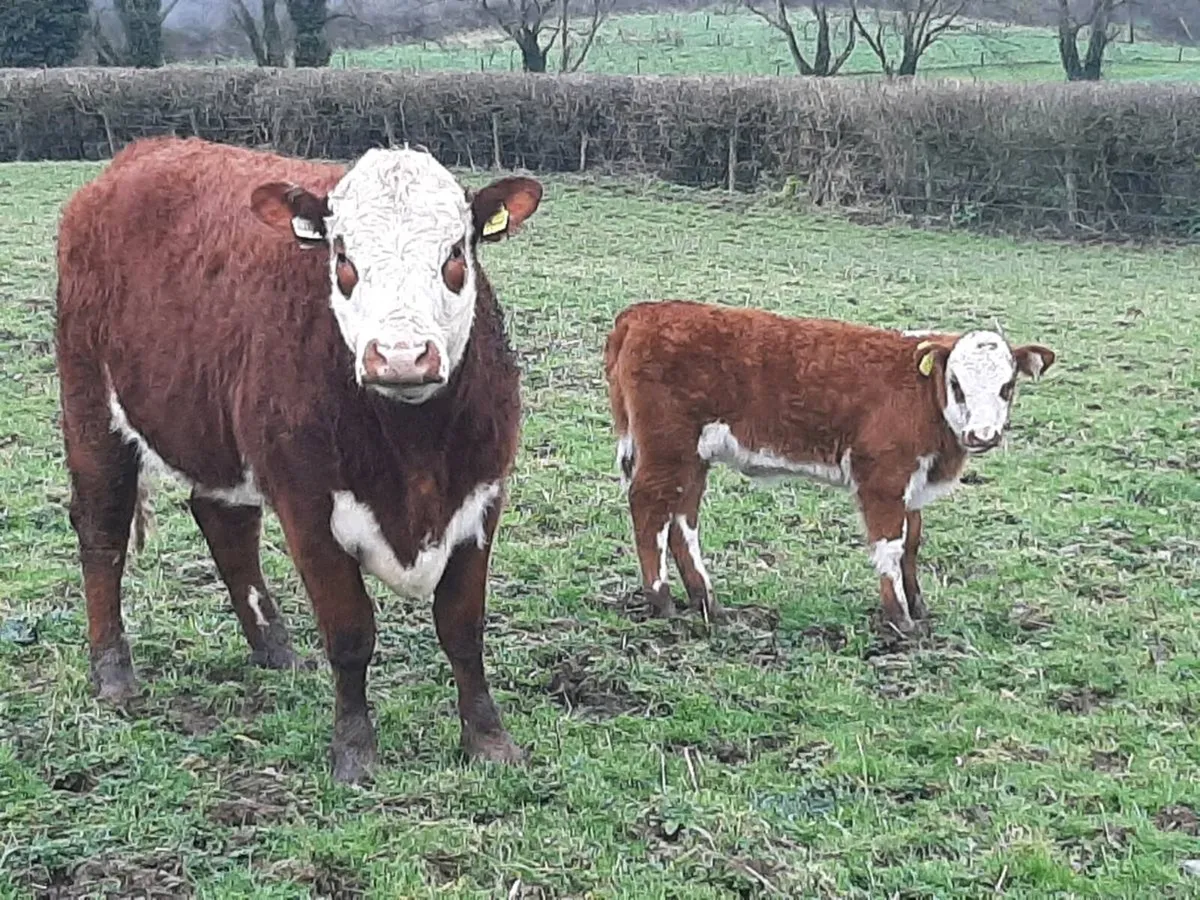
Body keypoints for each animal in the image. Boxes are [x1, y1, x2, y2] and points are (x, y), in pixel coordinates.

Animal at [55, 136, 542, 783]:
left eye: (455, 253)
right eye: (343, 258)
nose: (401, 356)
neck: (414, 450)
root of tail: (139, 155)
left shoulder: (481, 496)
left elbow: (462, 627)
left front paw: (490, 741)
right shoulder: (307, 506)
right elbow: (351, 631)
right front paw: (355, 752)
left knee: (224, 523)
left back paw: (275, 648)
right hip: (89, 405)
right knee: (102, 529)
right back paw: (112, 670)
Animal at [603, 300, 1056, 634]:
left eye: (1007, 386)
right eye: (957, 384)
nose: (982, 435)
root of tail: (641, 313)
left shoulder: (912, 483)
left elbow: (912, 543)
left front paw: (919, 606)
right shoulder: (882, 477)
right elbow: (890, 545)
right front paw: (900, 620)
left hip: (692, 457)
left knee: (683, 518)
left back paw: (707, 603)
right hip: (666, 447)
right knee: (650, 506)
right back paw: (661, 599)